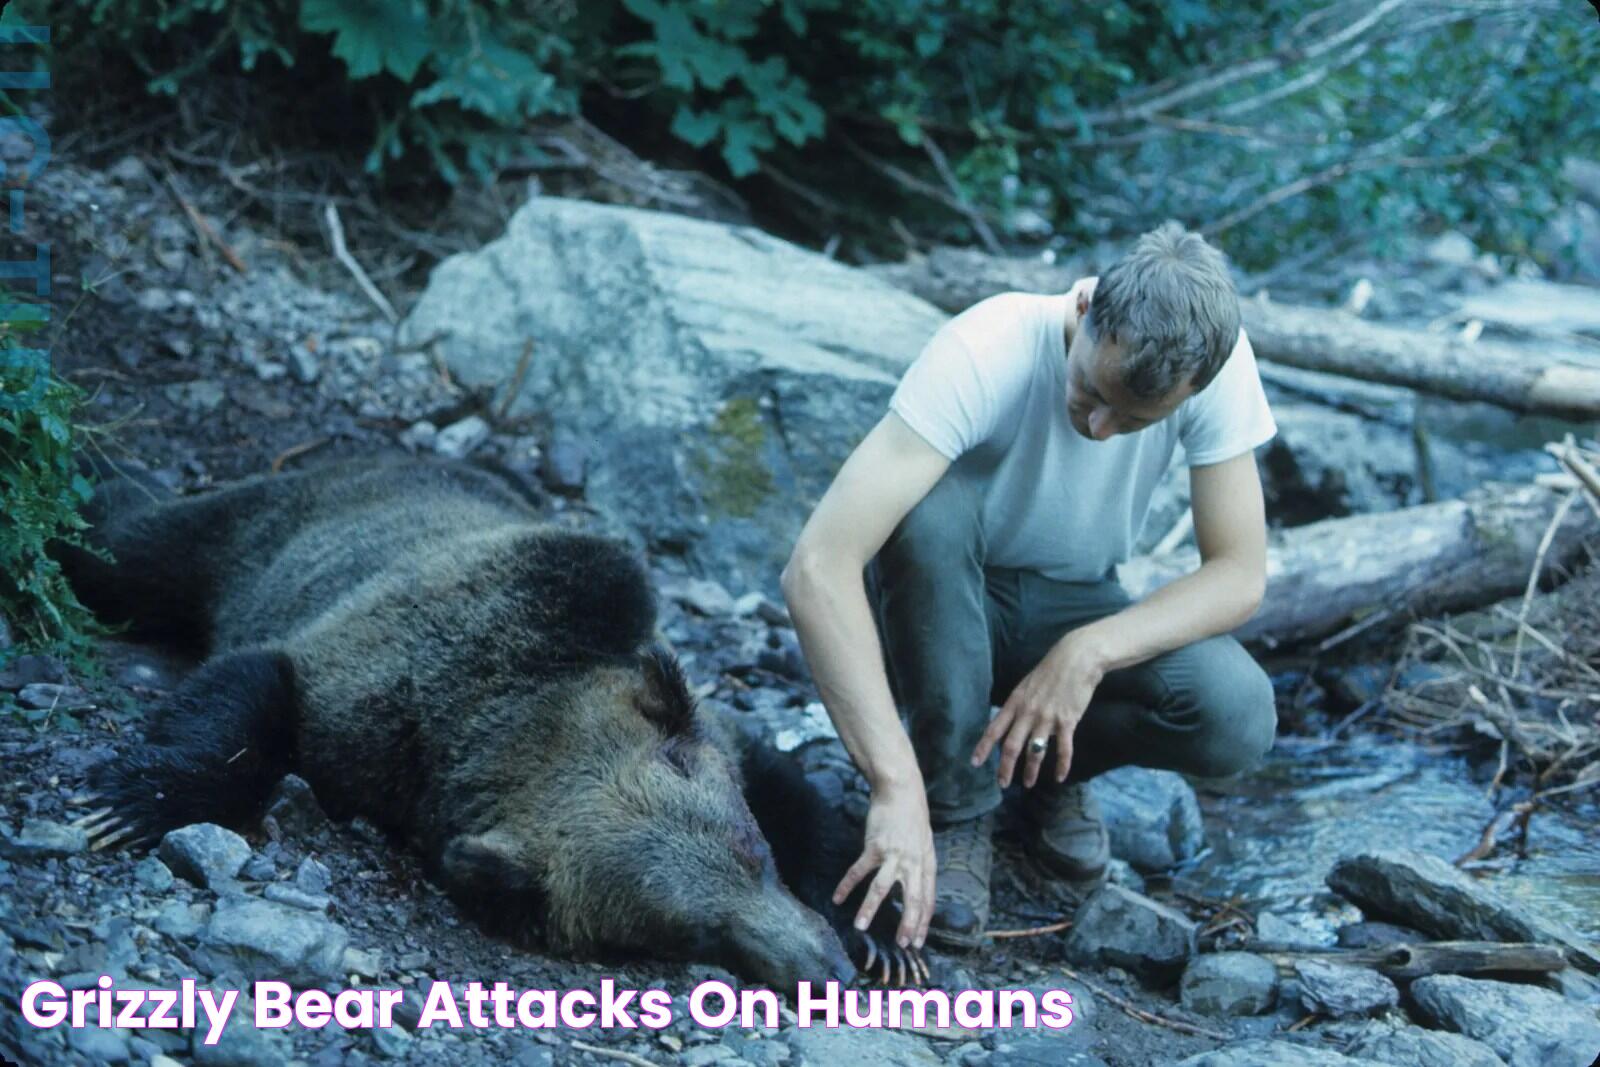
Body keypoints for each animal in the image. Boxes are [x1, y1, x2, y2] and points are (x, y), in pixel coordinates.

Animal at [62, 460, 921, 991]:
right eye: (695, 933)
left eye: (755, 853)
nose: (825, 970)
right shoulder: (365, 696)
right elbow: (259, 693)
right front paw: (129, 802)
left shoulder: (688, 704)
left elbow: (791, 789)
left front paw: (878, 927)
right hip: (254, 530)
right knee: (127, 550)